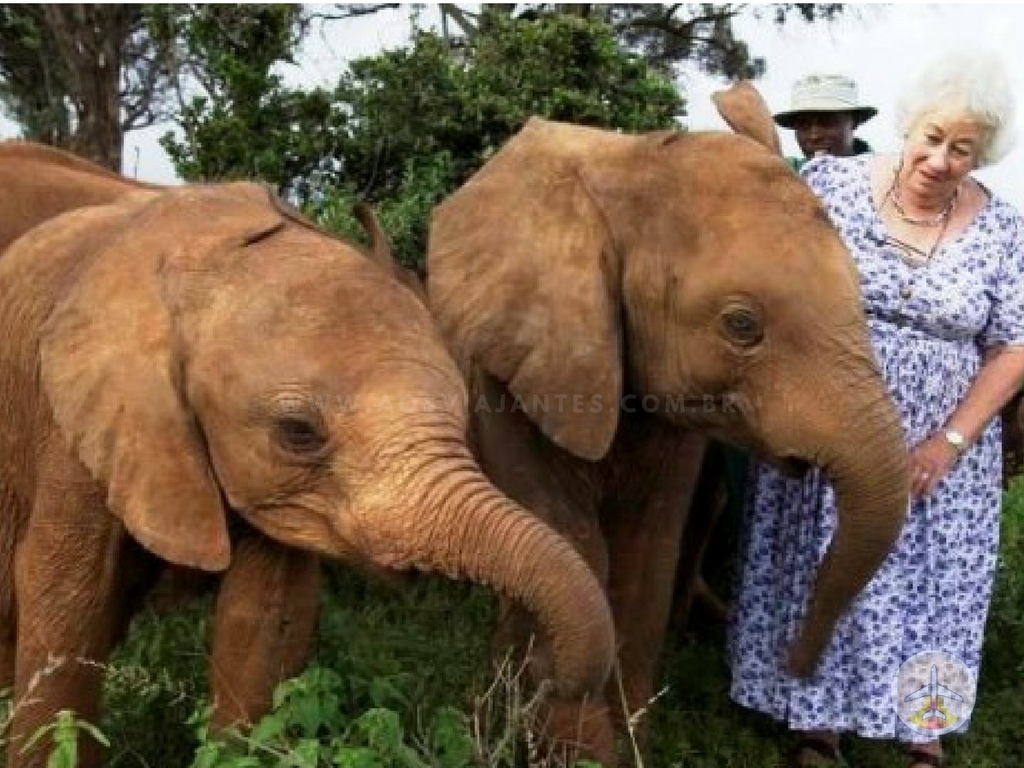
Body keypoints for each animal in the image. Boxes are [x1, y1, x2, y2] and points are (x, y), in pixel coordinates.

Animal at [426, 82, 911, 765]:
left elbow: (648, 550)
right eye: (741, 325)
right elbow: (570, 536)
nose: (798, 667)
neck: (635, 167)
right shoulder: (509, 371)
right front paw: (571, 744)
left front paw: (622, 743)